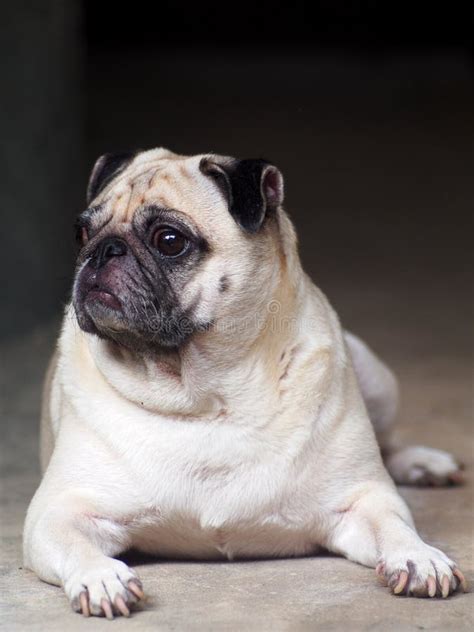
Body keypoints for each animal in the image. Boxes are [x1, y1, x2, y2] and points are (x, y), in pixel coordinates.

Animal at [23, 147, 466, 616]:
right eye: (81, 233)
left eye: (169, 240)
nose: (102, 250)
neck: (207, 397)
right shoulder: (57, 512)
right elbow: (77, 546)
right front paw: (101, 577)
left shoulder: (363, 500)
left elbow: (395, 525)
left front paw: (418, 556)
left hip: (376, 378)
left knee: (388, 443)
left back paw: (424, 463)